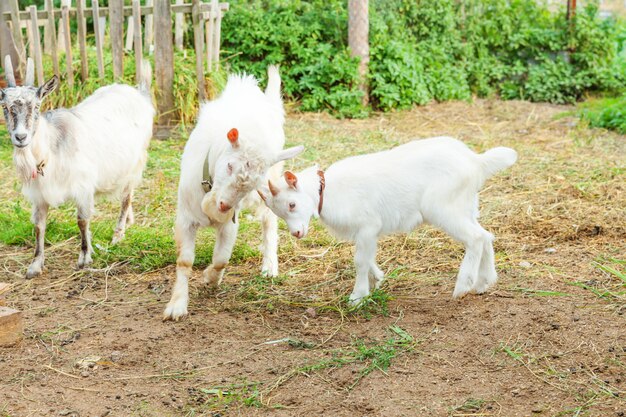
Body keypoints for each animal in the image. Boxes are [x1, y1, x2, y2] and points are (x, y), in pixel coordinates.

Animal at [0, 55, 155, 276]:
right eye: (4, 107)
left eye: (37, 106)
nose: (20, 137)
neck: (51, 149)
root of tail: (140, 92)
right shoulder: (39, 195)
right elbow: (39, 226)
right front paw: (35, 265)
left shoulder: (83, 186)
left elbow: (82, 220)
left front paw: (84, 258)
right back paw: (129, 221)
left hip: (135, 162)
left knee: (127, 197)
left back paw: (118, 234)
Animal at [163, 66, 302, 318]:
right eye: (229, 165)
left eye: (252, 183)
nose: (223, 206)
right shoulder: (185, 219)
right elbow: (185, 261)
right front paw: (177, 305)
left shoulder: (230, 223)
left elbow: (221, 259)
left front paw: (210, 279)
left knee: (269, 221)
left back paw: (269, 265)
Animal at [258, 136, 516, 302]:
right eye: (279, 213)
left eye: (292, 204)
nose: (297, 233)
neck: (327, 190)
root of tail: (476, 161)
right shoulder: (365, 233)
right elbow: (367, 256)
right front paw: (377, 279)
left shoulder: (368, 224)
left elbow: (360, 261)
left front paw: (358, 297)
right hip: (466, 206)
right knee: (486, 236)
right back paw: (483, 283)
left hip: (443, 207)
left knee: (475, 238)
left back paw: (462, 286)